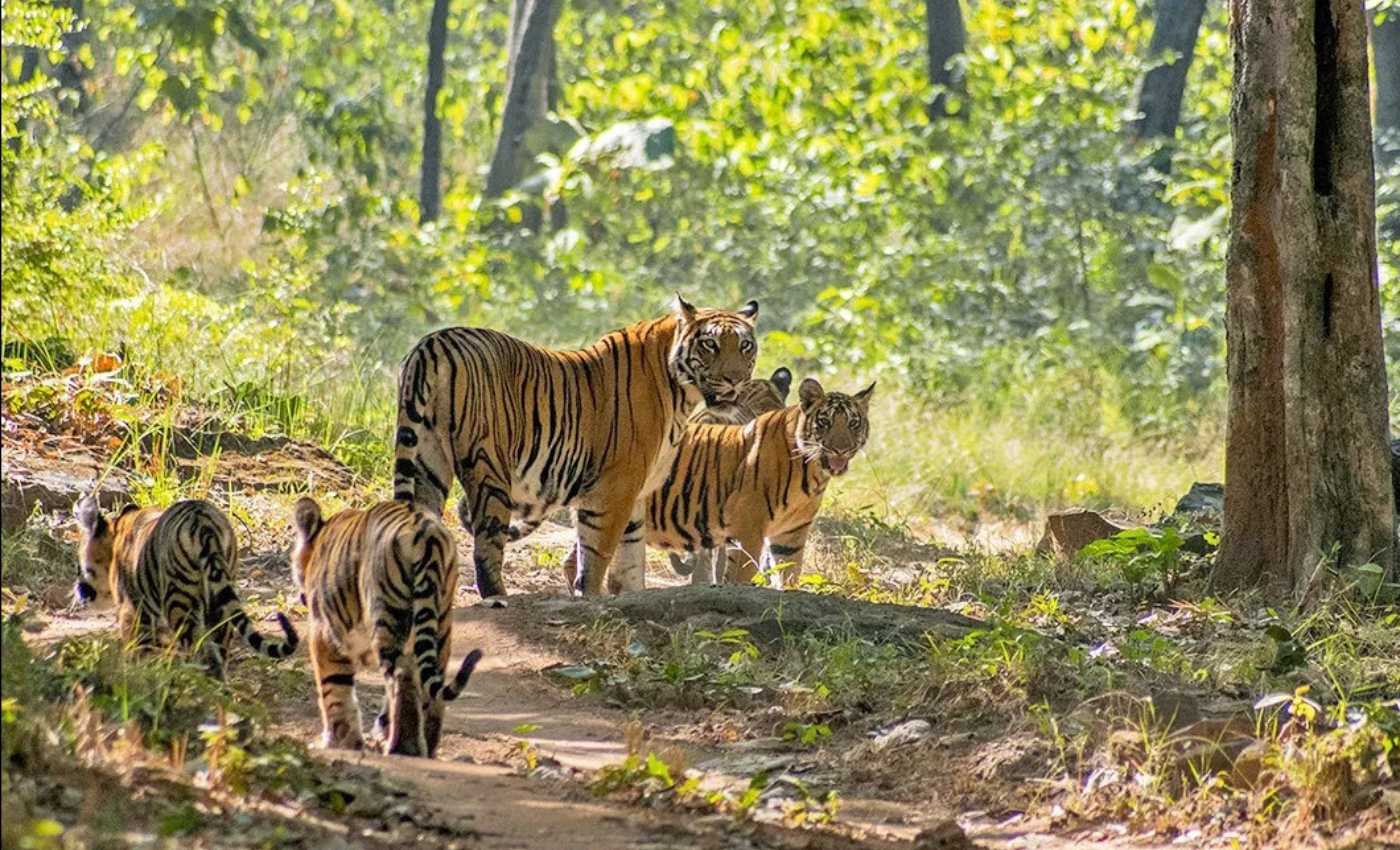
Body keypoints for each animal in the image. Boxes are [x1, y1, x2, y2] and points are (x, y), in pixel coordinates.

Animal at [73, 498, 298, 677]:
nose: (79, 590)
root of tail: (204, 523)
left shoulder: (132, 610)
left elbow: (137, 648)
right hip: (219, 598)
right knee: (218, 648)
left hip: (179, 600)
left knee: (196, 648)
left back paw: (193, 678)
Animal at [288, 498, 481, 756]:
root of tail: (426, 532)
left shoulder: (324, 633)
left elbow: (334, 689)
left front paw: (338, 742)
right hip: (440, 622)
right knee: (430, 684)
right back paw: (426, 748)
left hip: (386, 617)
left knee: (401, 677)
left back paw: (403, 747)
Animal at [394, 295, 761, 602]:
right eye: (710, 344)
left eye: (745, 346)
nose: (734, 379)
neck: (682, 394)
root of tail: (434, 343)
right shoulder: (614, 488)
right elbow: (597, 554)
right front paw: (591, 597)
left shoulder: (637, 492)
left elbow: (631, 558)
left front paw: (631, 596)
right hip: (489, 467)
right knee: (487, 542)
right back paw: (496, 597)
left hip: (427, 461)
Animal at [562, 378, 868, 590]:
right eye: (825, 422)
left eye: (854, 423)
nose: (840, 449)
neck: (813, 471)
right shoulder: (748, 530)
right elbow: (740, 574)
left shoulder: (790, 535)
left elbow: (789, 575)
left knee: (575, 561)